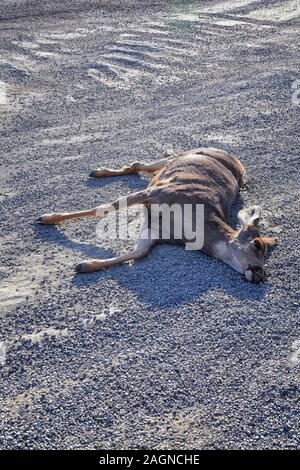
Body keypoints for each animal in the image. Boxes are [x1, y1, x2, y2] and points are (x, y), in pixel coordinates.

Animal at [38, 147, 278, 282]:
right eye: (258, 244)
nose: (260, 274)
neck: (194, 227)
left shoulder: (156, 231)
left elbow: (138, 253)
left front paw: (85, 265)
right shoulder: (158, 192)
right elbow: (108, 206)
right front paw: (47, 217)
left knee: (143, 164)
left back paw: (99, 171)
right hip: (181, 158)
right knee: (152, 161)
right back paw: (97, 171)